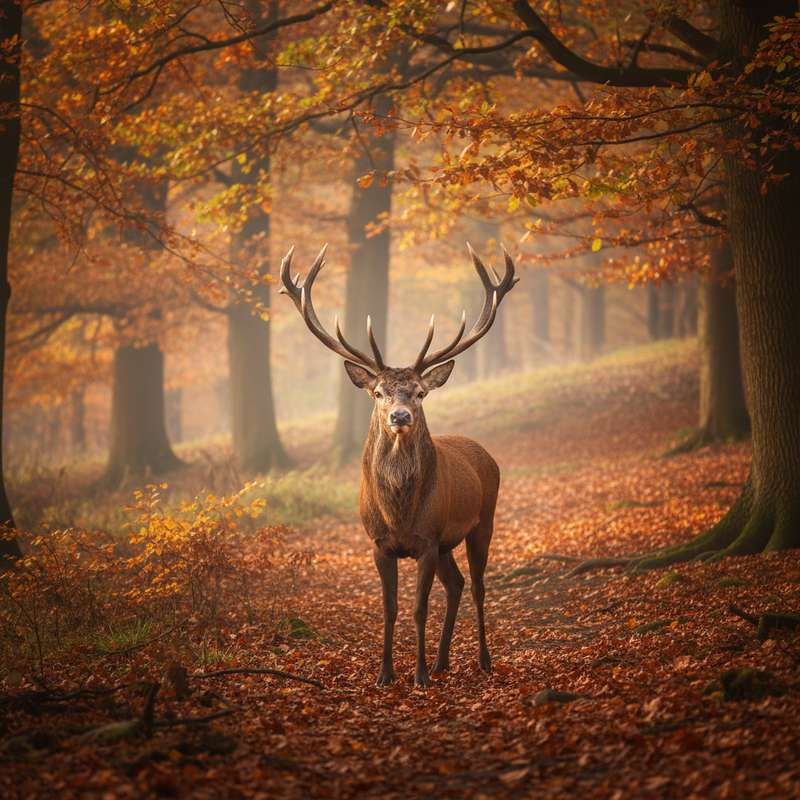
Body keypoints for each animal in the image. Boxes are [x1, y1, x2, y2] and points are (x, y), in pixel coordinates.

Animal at [279, 243, 518, 687]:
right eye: (378, 392)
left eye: (420, 392)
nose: (400, 416)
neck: (400, 513)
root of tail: (486, 454)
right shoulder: (380, 544)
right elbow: (389, 609)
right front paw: (385, 673)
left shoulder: (427, 540)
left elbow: (418, 609)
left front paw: (419, 675)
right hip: (447, 543)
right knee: (456, 583)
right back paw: (443, 662)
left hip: (483, 522)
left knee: (478, 586)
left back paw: (481, 660)